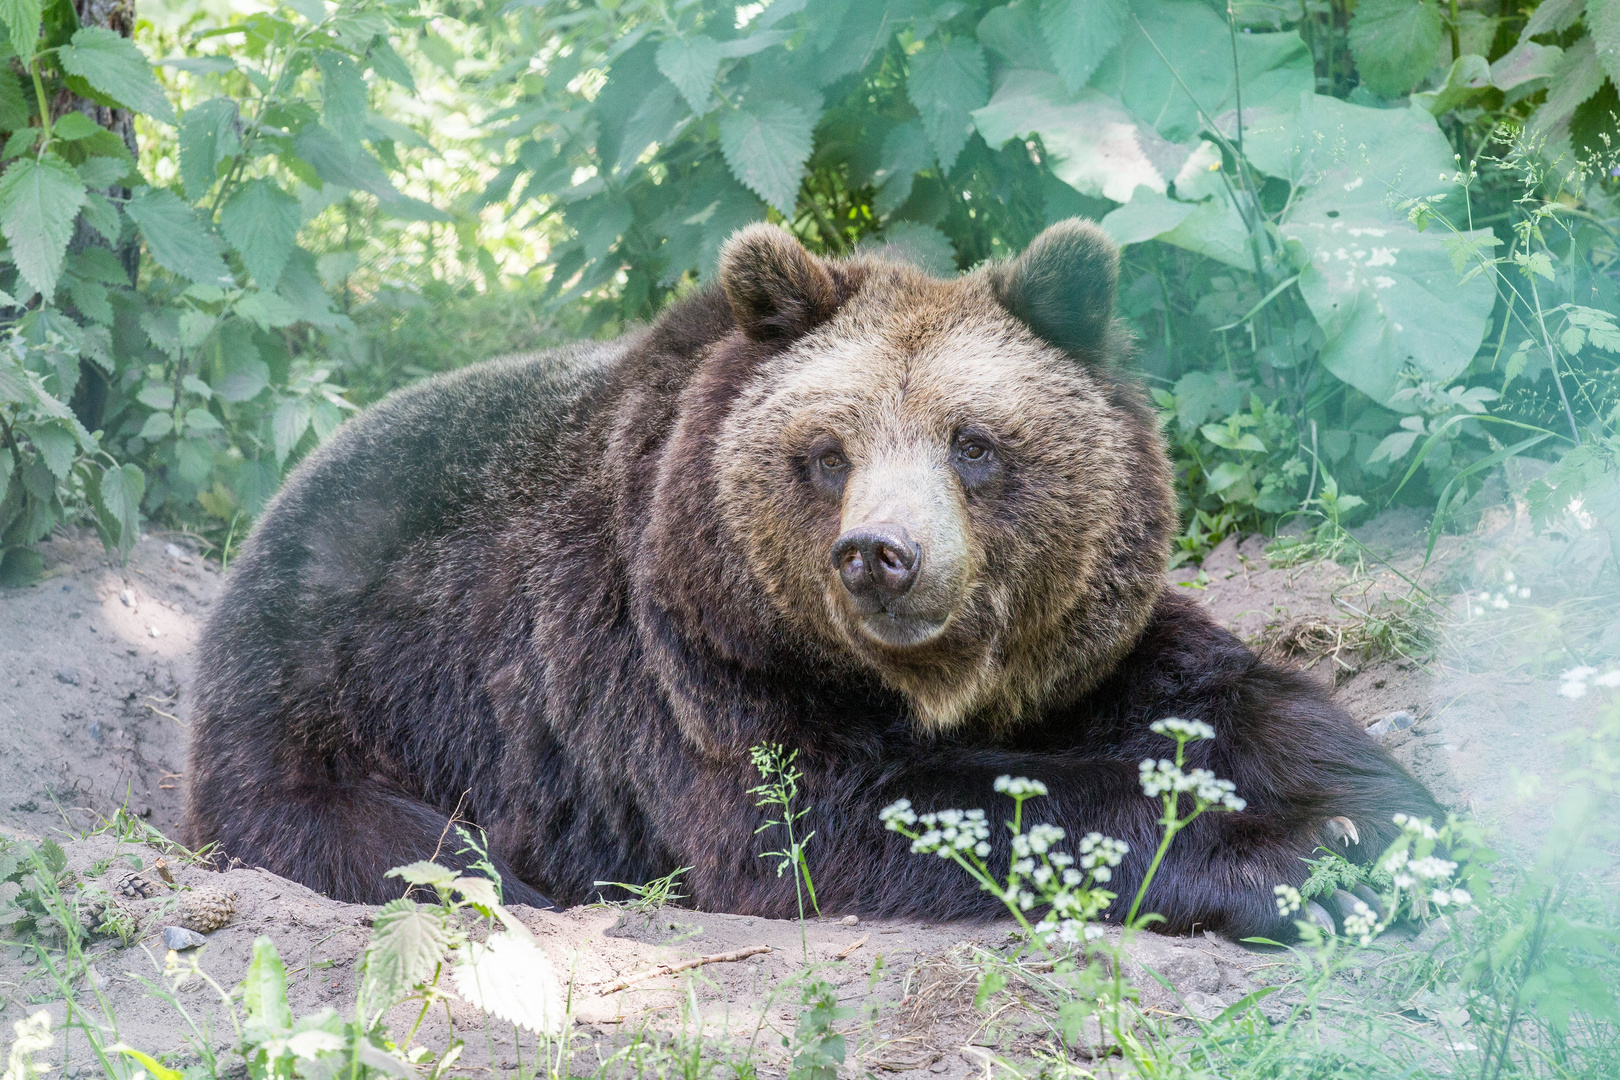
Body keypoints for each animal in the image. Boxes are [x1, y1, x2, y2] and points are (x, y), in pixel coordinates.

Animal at [183, 220, 1438, 939]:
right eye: (827, 452)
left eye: (974, 442)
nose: (880, 553)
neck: (929, 683)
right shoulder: (690, 666)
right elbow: (838, 817)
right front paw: (1292, 864)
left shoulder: (1085, 641)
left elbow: (1234, 696)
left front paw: (1389, 817)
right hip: (339, 710)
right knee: (409, 847)